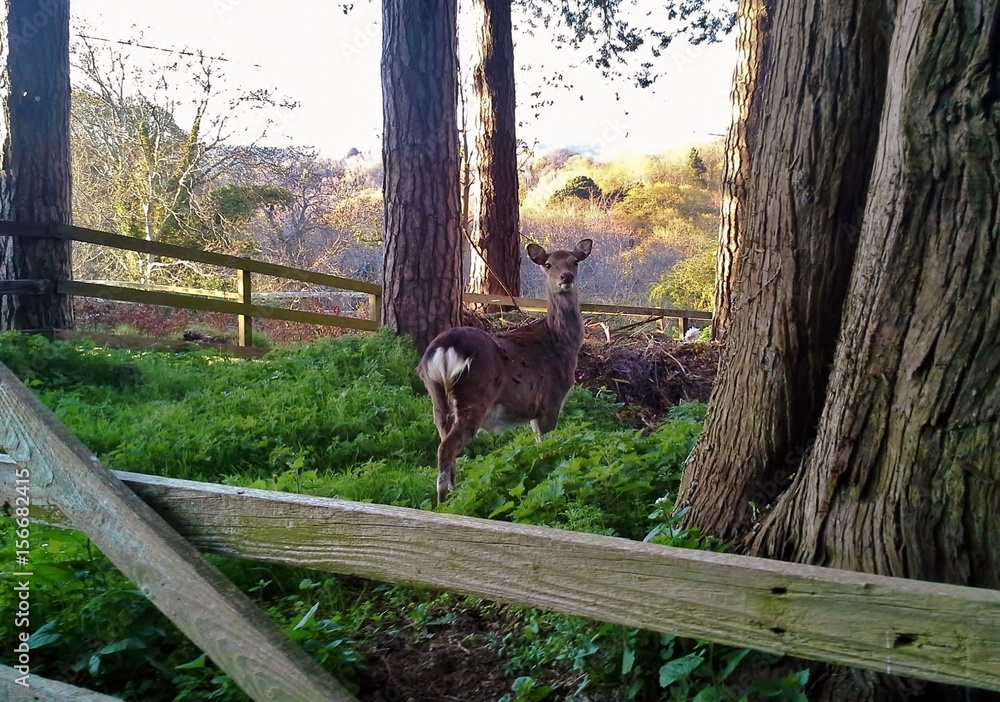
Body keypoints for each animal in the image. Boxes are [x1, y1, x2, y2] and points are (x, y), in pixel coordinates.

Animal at [418, 239, 593, 504]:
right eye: (548, 264)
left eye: (575, 261)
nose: (566, 276)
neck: (560, 341)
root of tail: (444, 349)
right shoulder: (550, 400)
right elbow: (547, 446)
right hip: (475, 395)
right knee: (446, 448)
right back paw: (445, 503)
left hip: (436, 398)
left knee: (445, 444)